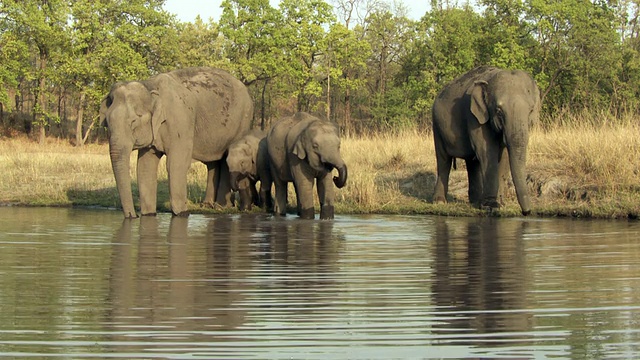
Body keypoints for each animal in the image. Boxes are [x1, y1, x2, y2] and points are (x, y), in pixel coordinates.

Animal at [100, 66, 252, 218]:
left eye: (133, 121)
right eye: (106, 122)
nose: (133, 215)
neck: (149, 86)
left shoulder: (181, 121)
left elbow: (175, 164)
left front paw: (182, 213)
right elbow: (145, 166)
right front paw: (149, 214)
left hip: (242, 123)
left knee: (226, 160)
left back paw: (221, 207)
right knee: (213, 162)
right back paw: (208, 205)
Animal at [430, 65, 540, 215]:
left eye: (531, 111)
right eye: (499, 111)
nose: (526, 212)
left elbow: (504, 155)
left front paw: (500, 203)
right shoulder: (474, 116)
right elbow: (487, 151)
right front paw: (491, 206)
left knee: (472, 162)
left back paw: (475, 202)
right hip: (437, 125)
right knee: (443, 160)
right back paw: (440, 202)